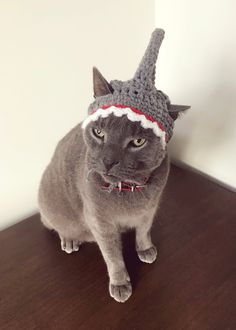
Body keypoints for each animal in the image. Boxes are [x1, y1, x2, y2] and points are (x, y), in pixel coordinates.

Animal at [38, 29, 190, 302]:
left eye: (138, 141)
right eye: (99, 133)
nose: (108, 161)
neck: (129, 191)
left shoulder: (150, 209)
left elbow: (144, 230)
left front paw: (146, 249)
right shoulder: (100, 222)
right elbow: (113, 256)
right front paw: (120, 284)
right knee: (54, 224)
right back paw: (69, 240)